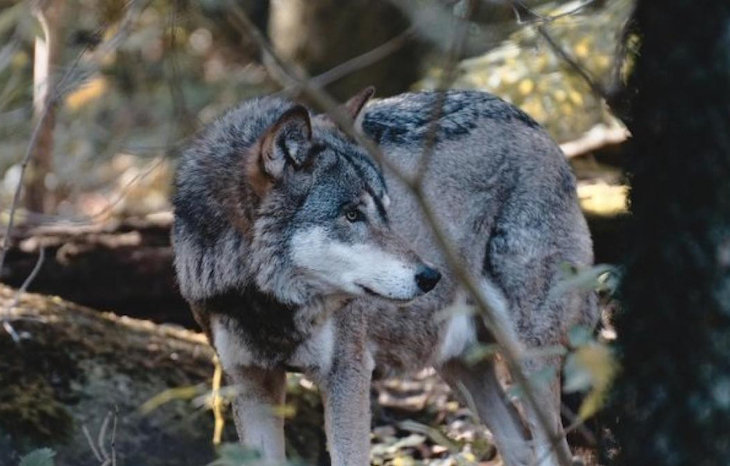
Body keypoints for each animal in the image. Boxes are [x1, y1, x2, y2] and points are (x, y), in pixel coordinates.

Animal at [172, 87, 597, 466]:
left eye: (385, 212)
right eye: (352, 215)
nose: (430, 276)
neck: (266, 305)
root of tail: (535, 126)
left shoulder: (348, 374)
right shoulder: (251, 382)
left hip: (527, 357)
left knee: (557, 451)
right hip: (458, 364)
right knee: (519, 443)